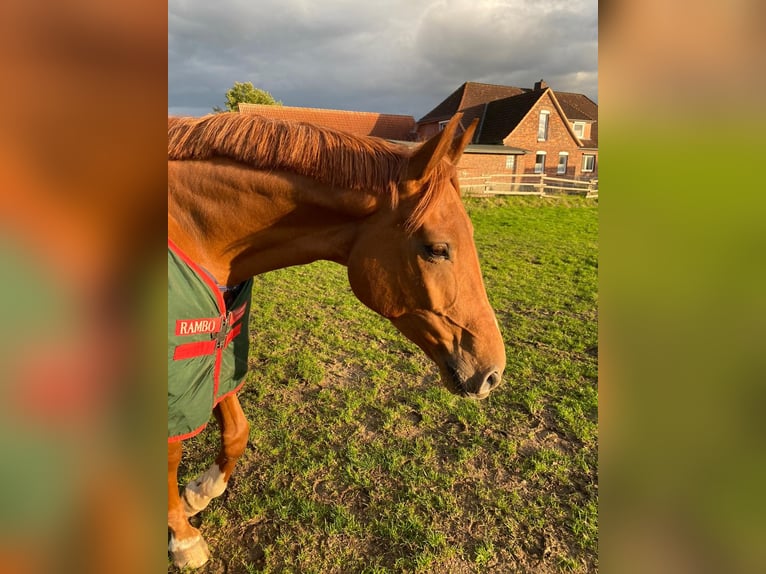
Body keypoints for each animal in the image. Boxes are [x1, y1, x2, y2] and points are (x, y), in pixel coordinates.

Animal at [167, 111, 504, 568]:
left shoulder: (217, 350)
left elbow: (236, 432)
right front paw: (183, 539)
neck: (192, 232)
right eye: (436, 248)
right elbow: (170, 455)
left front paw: (198, 494)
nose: (493, 372)